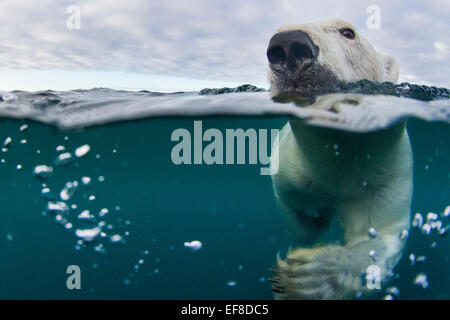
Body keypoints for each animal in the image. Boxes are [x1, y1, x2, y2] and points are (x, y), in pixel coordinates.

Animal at [266, 18, 414, 298]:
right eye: (278, 31)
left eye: (348, 32)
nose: (289, 45)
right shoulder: (290, 165)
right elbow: (297, 220)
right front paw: (316, 214)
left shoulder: (386, 175)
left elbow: (383, 235)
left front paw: (309, 276)